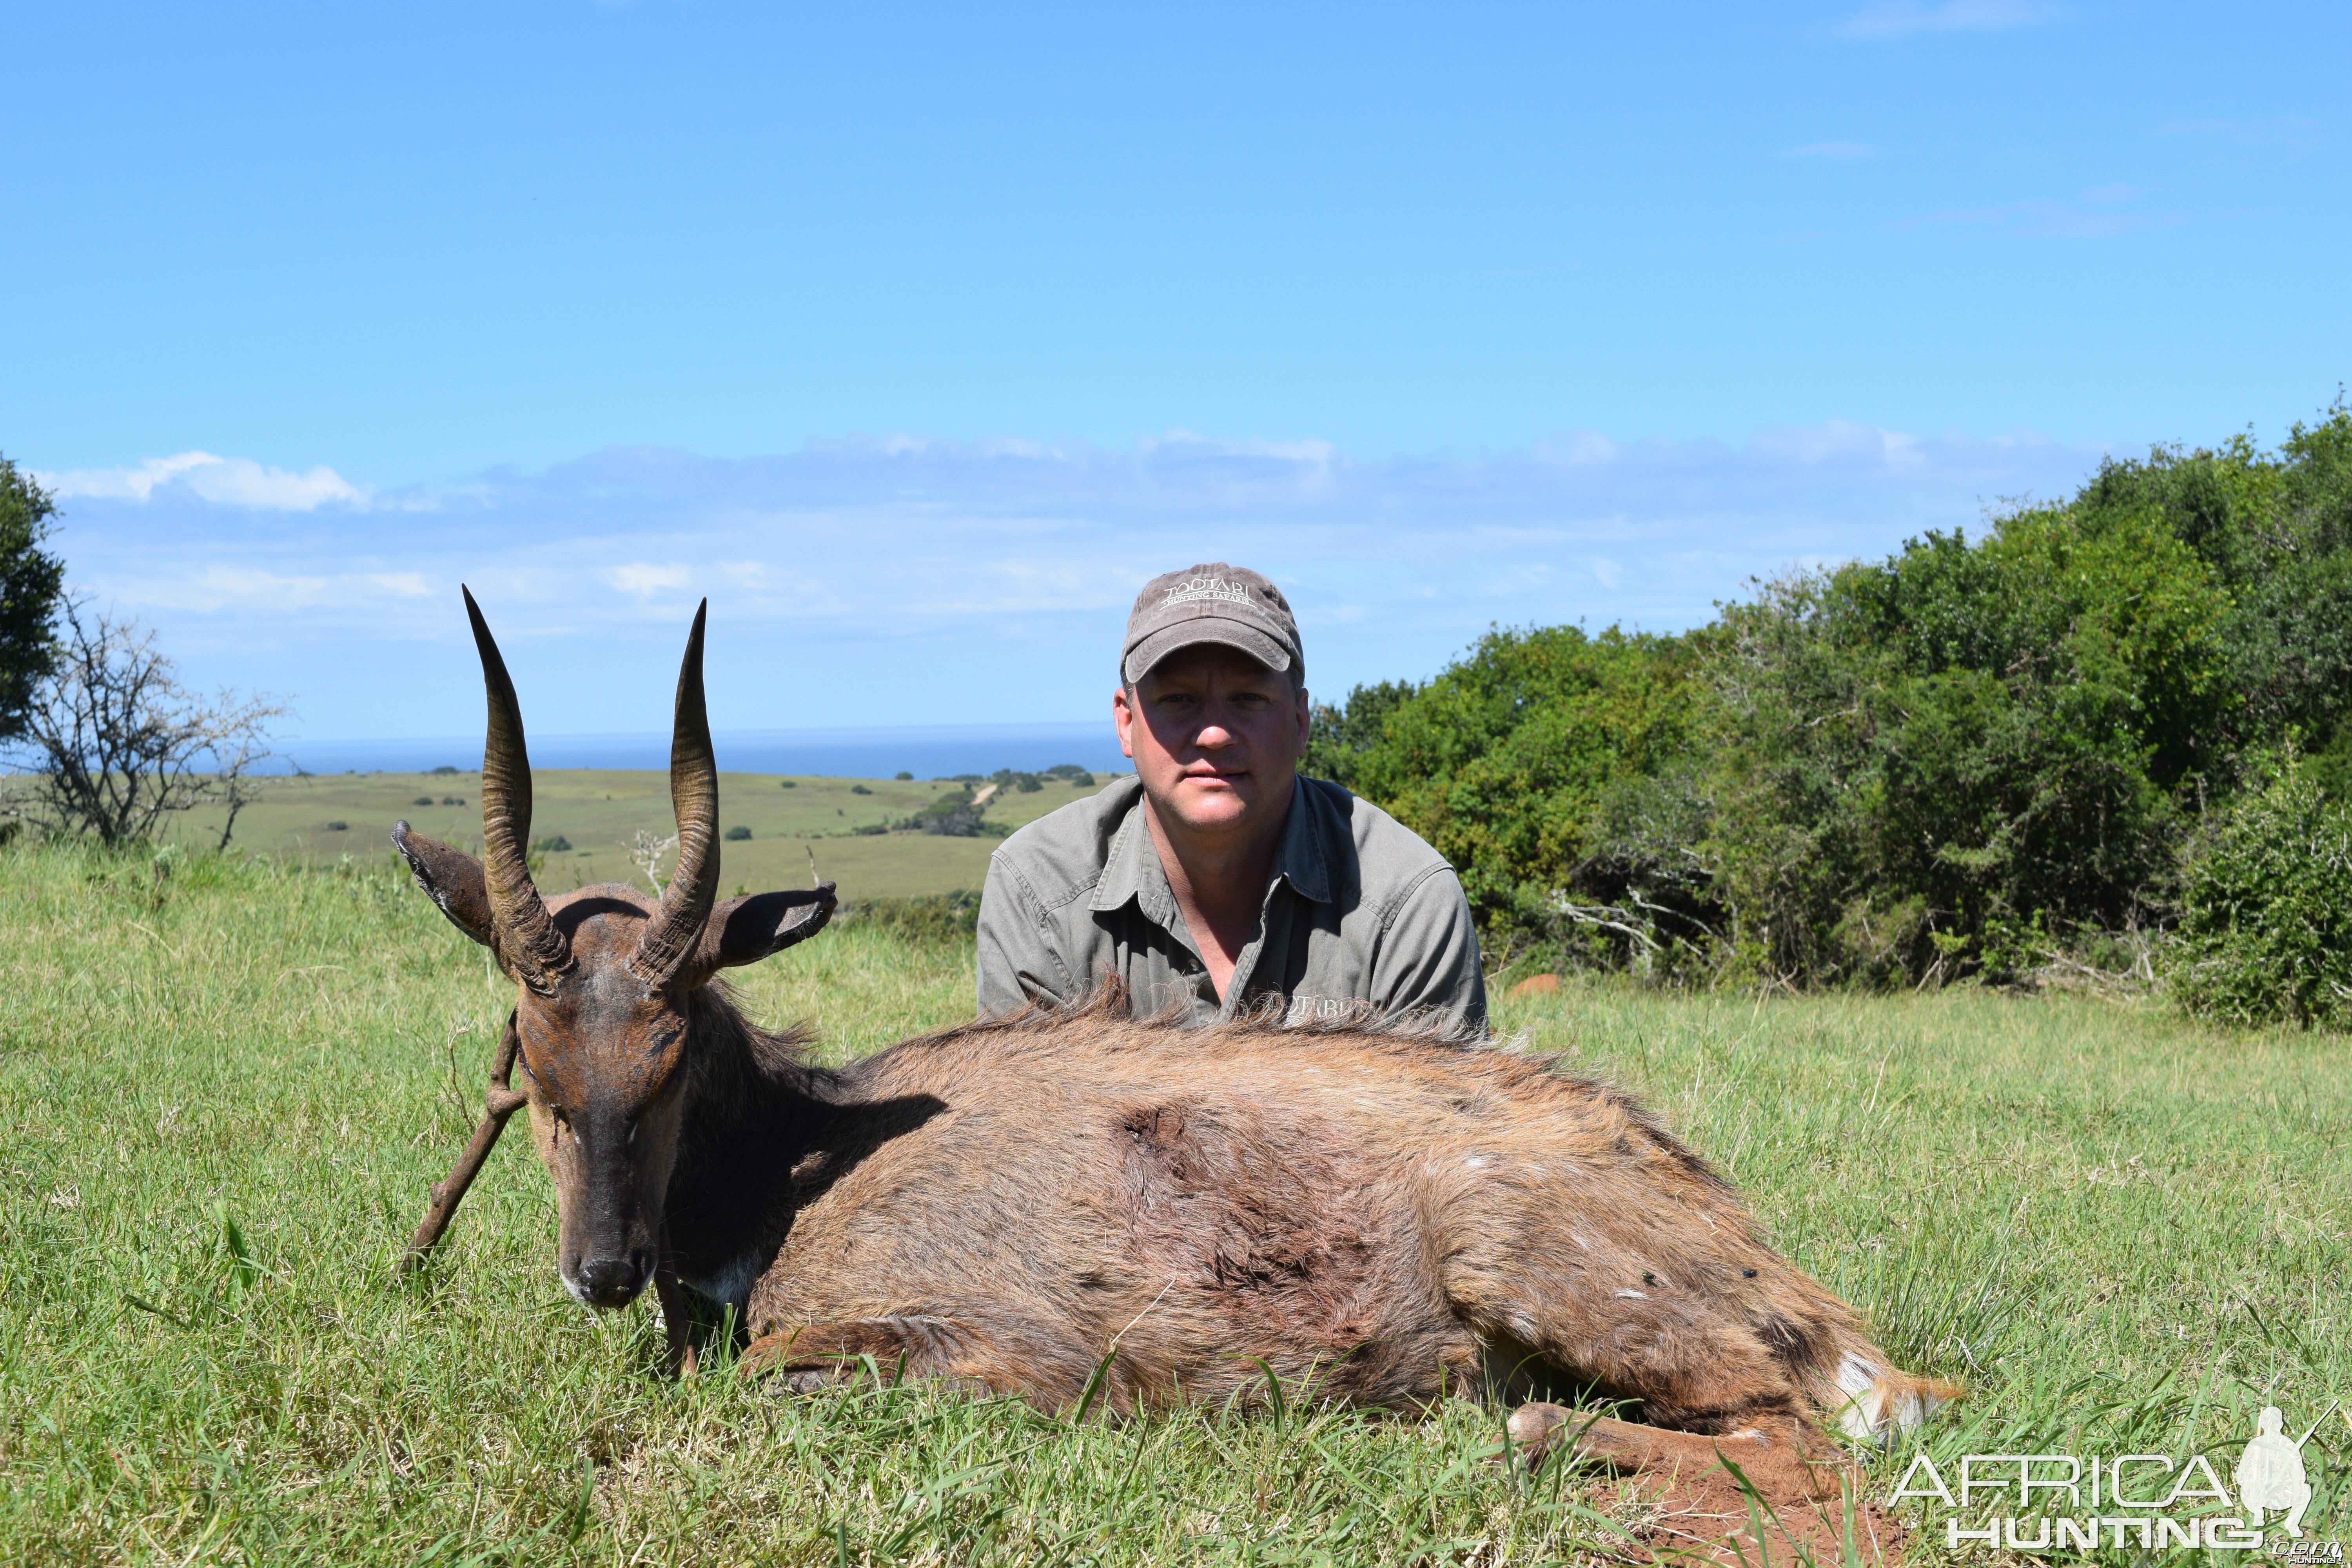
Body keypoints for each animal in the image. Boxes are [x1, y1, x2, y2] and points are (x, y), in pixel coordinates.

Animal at [400, 592, 1947, 1533]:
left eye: (671, 1050)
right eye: (533, 1056)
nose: (602, 1268)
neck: (792, 1160)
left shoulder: (973, 1352)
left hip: (1531, 1262)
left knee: (1789, 1435)